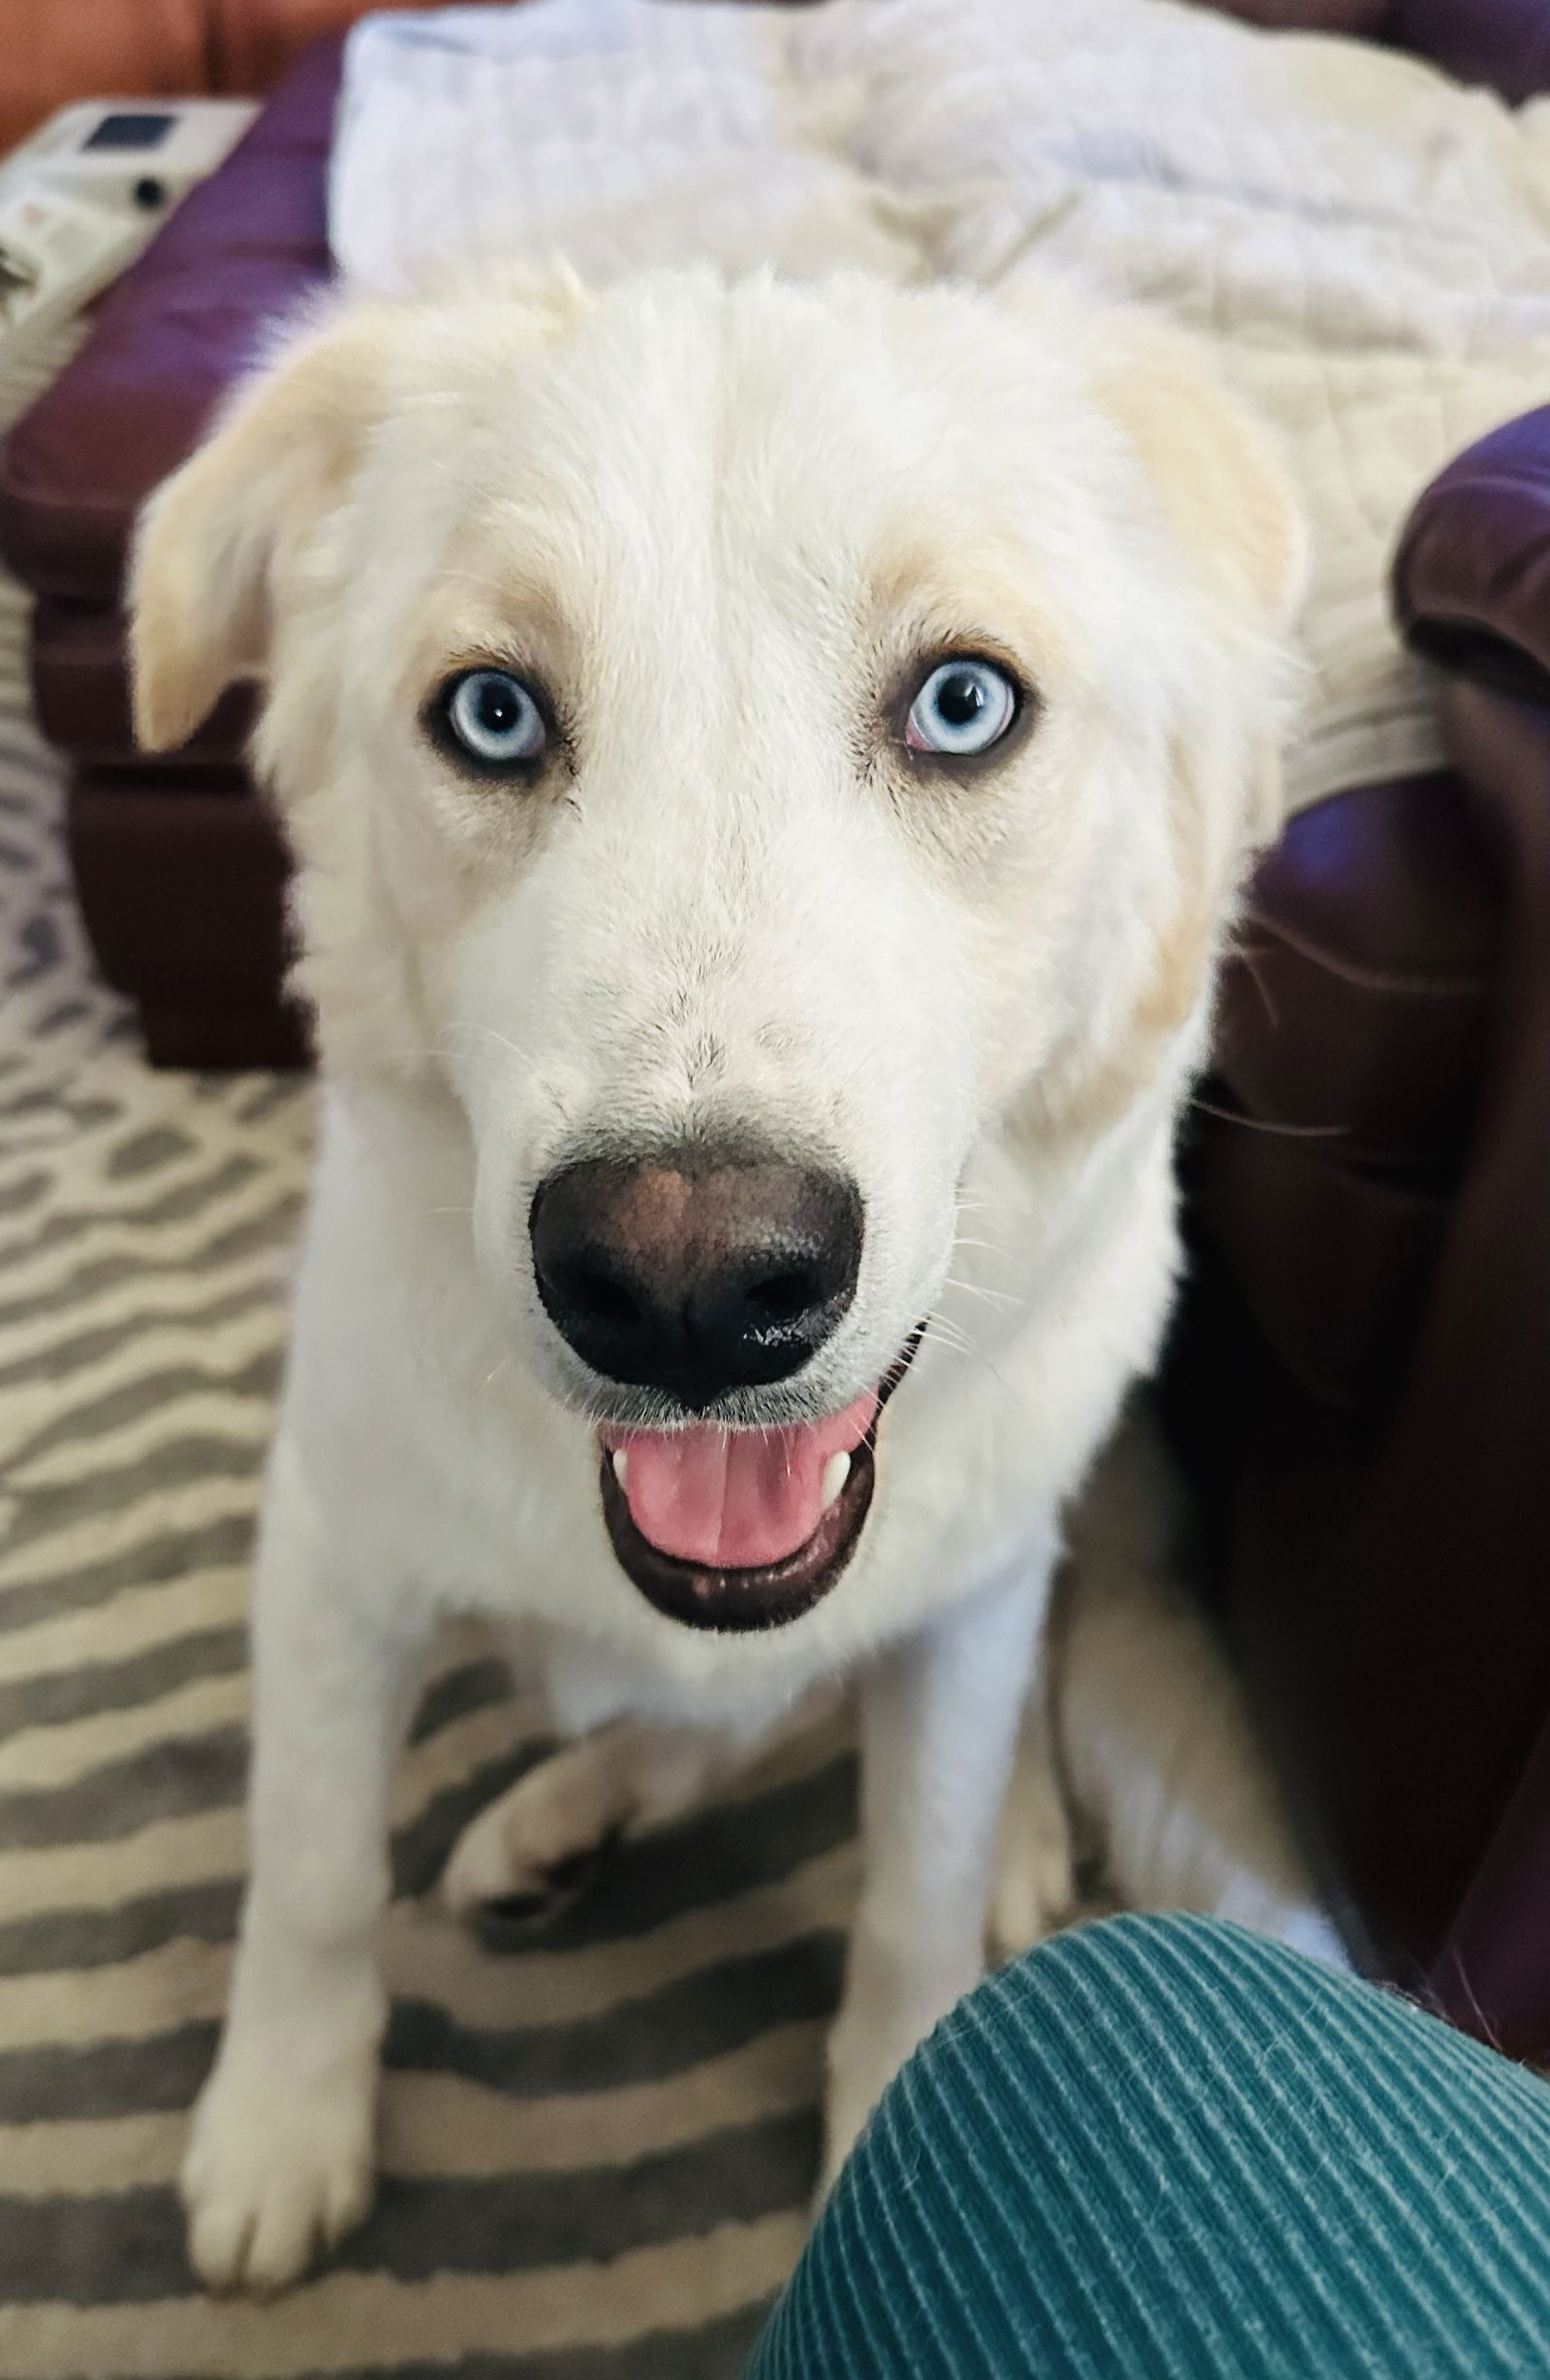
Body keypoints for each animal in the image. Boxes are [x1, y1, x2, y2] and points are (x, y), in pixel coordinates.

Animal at [130, 260, 1314, 2284]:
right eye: (496, 716)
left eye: (964, 702)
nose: (687, 1287)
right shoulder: (334, 1555)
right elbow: (313, 1869)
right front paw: (282, 2119)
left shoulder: (966, 1606)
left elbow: (911, 1889)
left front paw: (894, 2125)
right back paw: (562, 1815)